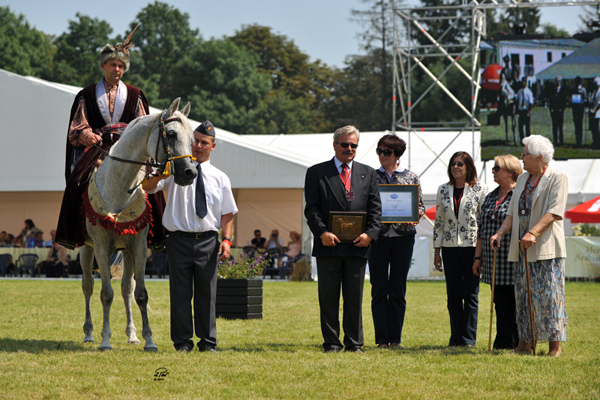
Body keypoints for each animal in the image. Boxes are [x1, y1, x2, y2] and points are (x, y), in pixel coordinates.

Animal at [79, 98, 196, 352]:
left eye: (192, 138)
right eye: (171, 134)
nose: (190, 173)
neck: (120, 187)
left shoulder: (139, 247)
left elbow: (140, 294)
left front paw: (149, 340)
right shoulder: (101, 248)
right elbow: (105, 293)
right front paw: (105, 340)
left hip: (127, 252)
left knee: (126, 288)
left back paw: (132, 335)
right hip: (85, 248)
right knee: (88, 286)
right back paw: (89, 333)